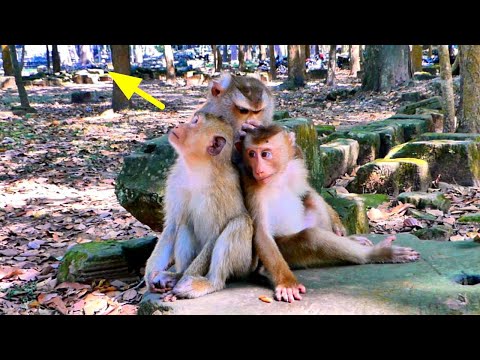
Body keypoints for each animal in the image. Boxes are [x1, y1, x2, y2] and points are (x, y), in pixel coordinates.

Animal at [143, 111, 253, 300]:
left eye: (194, 122)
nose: (178, 125)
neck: (199, 168)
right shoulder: (176, 180)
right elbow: (172, 226)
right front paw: (150, 275)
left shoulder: (223, 190)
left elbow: (216, 233)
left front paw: (183, 282)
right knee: (184, 223)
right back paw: (177, 275)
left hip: (244, 263)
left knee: (240, 222)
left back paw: (208, 282)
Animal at [240, 125, 420, 302]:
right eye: (251, 154)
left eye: (265, 154)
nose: (258, 170)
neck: (278, 177)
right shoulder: (252, 187)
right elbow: (262, 234)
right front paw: (287, 283)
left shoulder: (296, 169)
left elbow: (308, 190)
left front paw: (338, 226)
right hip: (286, 253)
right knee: (311, 237)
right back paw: (377, 253)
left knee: (312, 200)